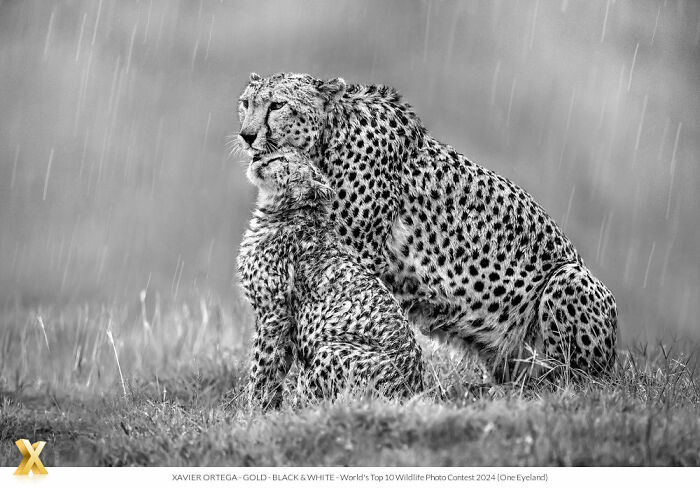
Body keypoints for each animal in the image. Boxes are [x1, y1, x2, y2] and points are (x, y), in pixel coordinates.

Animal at [235, 72, 618, 382]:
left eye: (277, 105)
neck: (327, 138)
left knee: (569, 379)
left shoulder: (354, 259)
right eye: (246, 103)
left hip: (569, 278)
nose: (247, 135)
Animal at [237, 148, 424, 408]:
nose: (256, 159)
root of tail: (412, 389)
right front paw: (270, 409)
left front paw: (252, 409)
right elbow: (277, 369)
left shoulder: (274, 314)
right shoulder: (287, 323)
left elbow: (262, 366)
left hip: (329, 350)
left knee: (315, 400)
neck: (287, 211)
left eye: (280, 159)